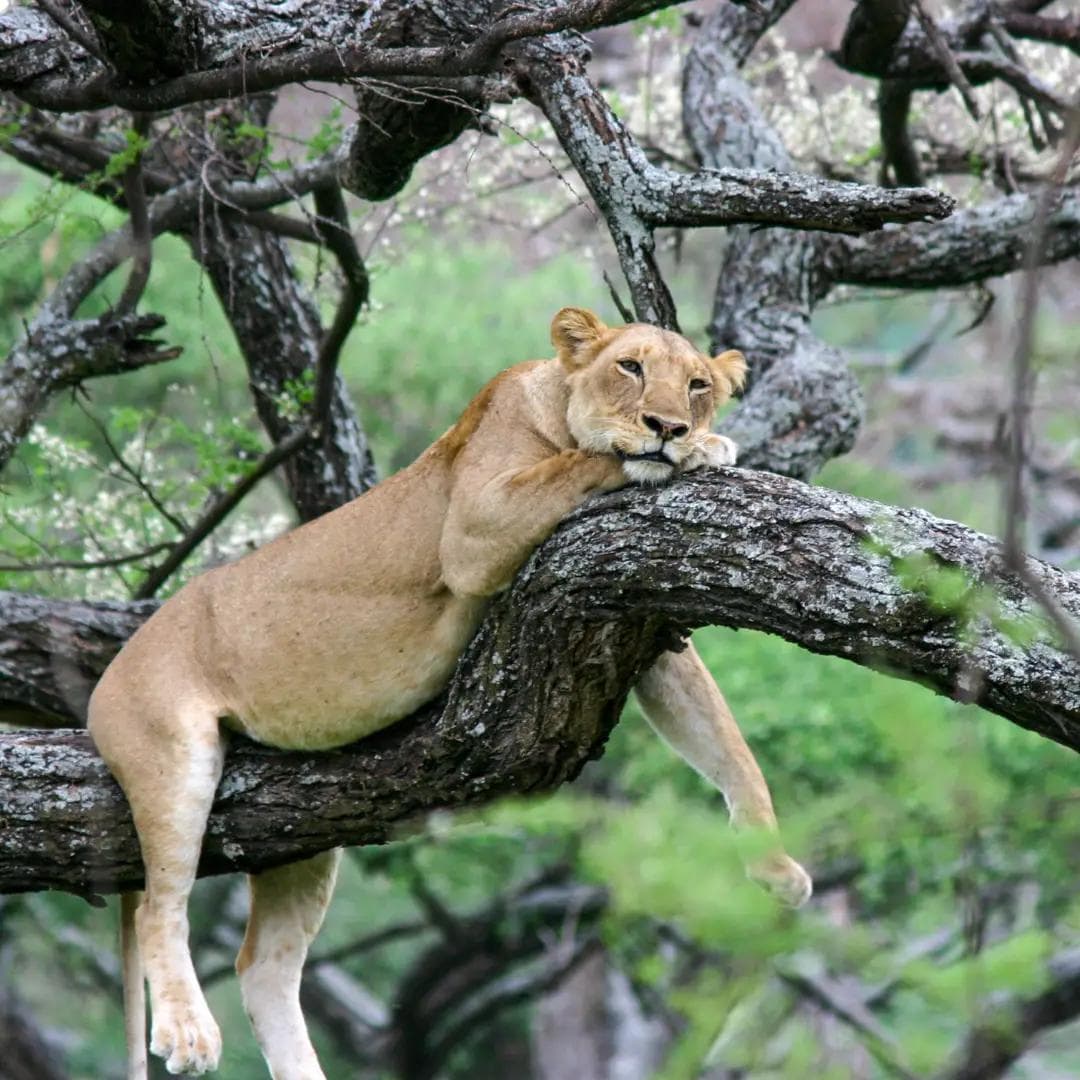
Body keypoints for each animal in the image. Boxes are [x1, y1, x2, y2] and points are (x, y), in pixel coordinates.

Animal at [88, 307, 811, 1079]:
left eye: (698, 383)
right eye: (631, 367)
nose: (670, 425)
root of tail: (108, 675)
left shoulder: (635, 624)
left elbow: (726, 743)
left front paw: (775, 866)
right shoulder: (475, 526)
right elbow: (588, 463)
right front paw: (704, 446)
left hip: (298, 837)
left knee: (265, 968)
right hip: (174, 757)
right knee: (161, 905)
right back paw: (188, 1033)